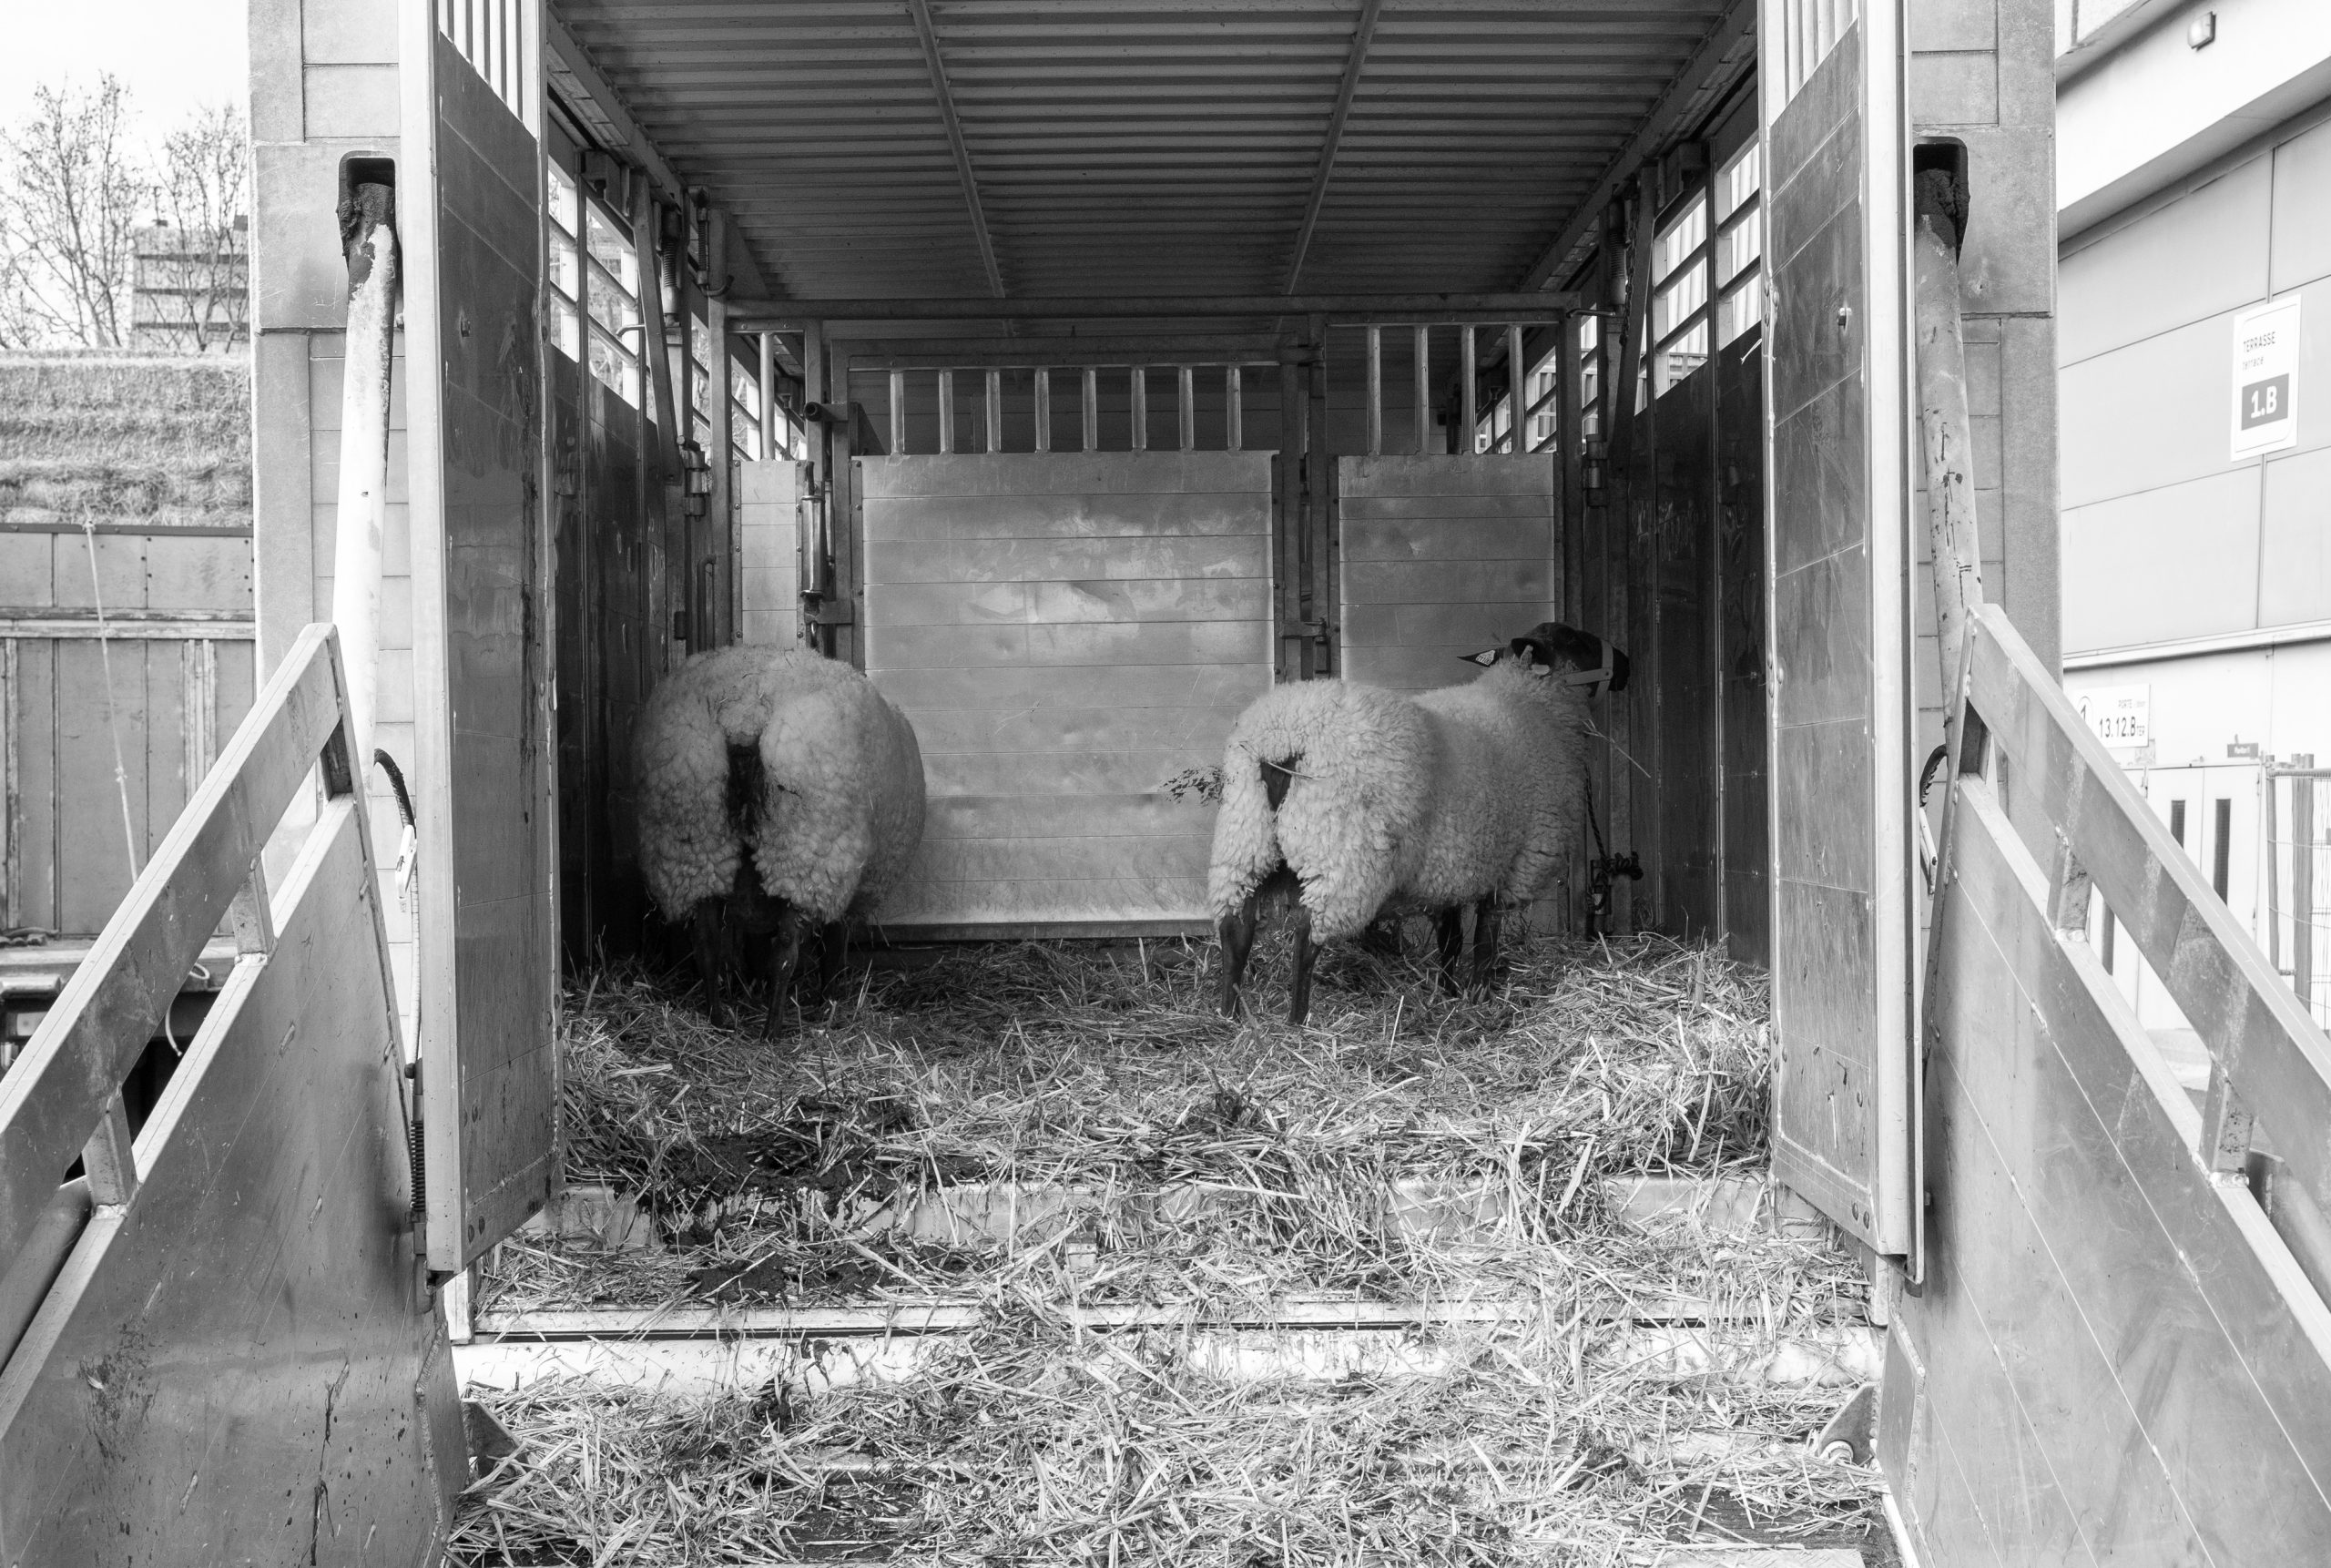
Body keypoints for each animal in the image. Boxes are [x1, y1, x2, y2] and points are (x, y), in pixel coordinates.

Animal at [632, 645, 926, 1035]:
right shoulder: (845, 884)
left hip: (694, 837)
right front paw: (827, 1000)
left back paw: (718, 1019)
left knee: (707, 939)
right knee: (786, 949)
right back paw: (772, 1029)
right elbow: (834, 943)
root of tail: (744, 711)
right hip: (806, 850)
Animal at [1207, 621, 1627, 1024]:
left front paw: (1448, 993)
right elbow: (1486, 937)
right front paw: (1480, 995)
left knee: (1235, 926)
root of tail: (1284, 740)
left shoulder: (1451, 870)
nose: (1625, 662)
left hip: (1245, 834)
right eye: (1576, 639)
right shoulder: (1514, 865)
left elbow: (1451, 938)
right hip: (1341, 852)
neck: (1534, 704)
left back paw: (1230, 1014)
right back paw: (1297, 1021)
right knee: (1307, 935)